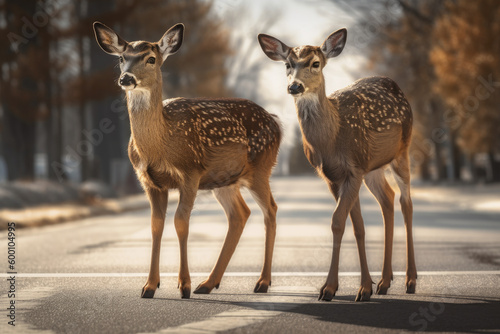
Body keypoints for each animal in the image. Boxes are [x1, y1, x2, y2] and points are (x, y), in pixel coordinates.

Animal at [93, 22, 282, 300]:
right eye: (121, 58)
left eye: (151, 59)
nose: (126, 78)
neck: (160, 146)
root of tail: (276, 123)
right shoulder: (149, 181)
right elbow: (156, 226)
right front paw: (150, 286)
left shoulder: (190, 172)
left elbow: (181, 223)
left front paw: (183, 285)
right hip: (224, 180)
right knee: (240, 214)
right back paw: (209, 283)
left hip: (261, 168)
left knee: (270, 210)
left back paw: (262, 282)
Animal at [258, 27, 418, 302]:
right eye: (288, 64)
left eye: (315, 63)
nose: (294, 86)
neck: (332, 137)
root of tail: (394, 84)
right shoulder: (333, 176)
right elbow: (357, 225)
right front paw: (364, 287)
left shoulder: (353, 170)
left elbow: (337, 222)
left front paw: (330, 288)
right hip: (373, 167)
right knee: (387, 199)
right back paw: (385, 282)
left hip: (401, 151)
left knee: (405, 202)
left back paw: (410, 280)